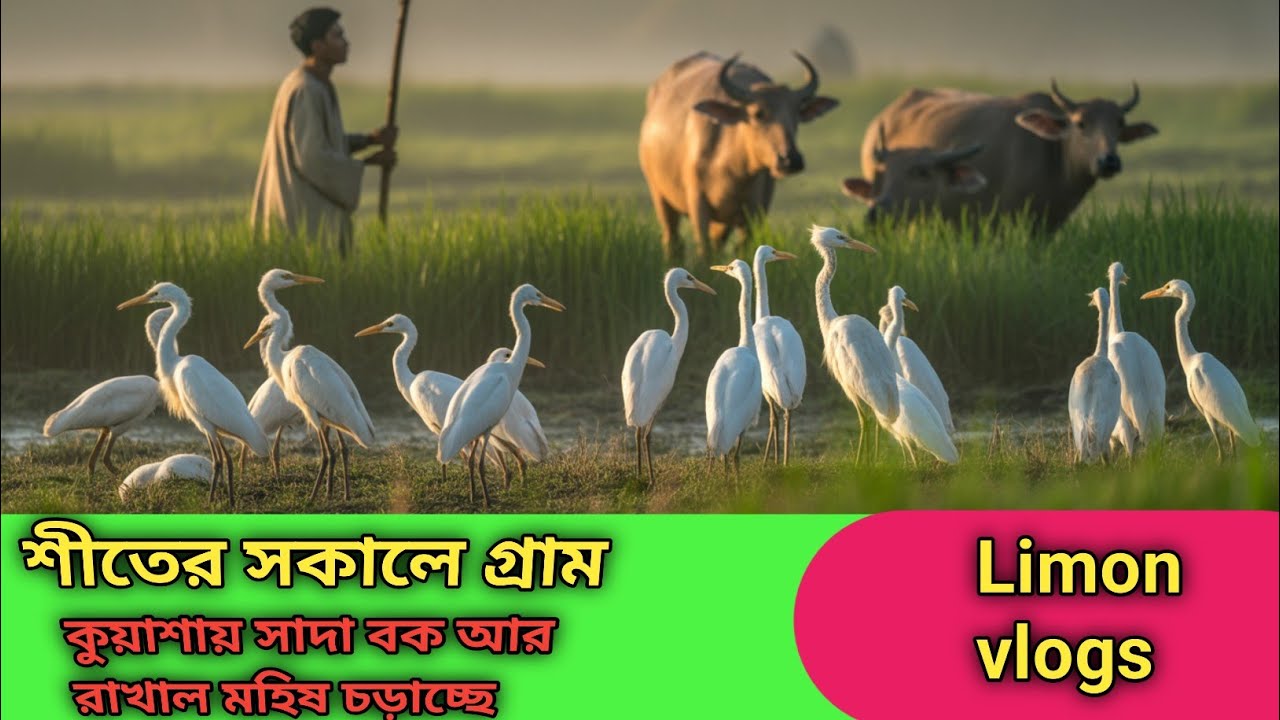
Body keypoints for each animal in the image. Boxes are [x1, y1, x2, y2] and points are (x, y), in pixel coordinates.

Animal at [639, 52, 839, 259]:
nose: (790, 159)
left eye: (796, 114)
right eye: (758, 113)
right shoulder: (697, 203)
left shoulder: (754, 211)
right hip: (660, 195)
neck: (730, 169)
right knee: (672, 239)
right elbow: (703, 248)